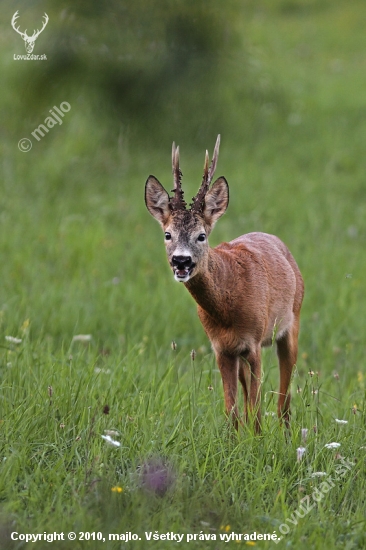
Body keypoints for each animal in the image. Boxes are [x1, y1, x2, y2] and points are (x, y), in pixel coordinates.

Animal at [144, 137, 304, 432]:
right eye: (168, 234)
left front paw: (257, 441)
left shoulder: (254, 342)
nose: (181, 261)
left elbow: (255, 408)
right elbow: (232, 410)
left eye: (202, 235)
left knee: (283, 399)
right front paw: (234, 442)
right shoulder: (221, 348)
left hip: (291, 324)